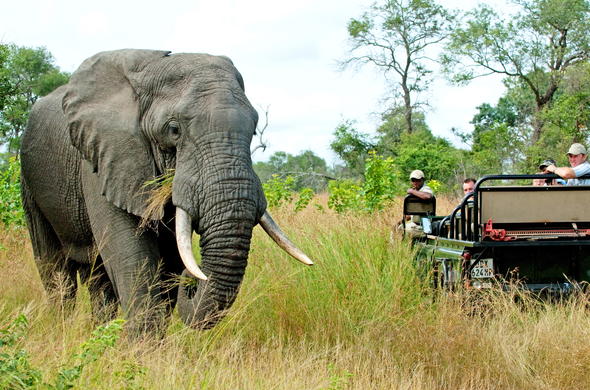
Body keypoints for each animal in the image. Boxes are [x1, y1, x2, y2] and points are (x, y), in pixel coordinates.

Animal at [19, 48, 314, 334]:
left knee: (97, 277)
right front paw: (143, 350)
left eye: (254, 130)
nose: (194, 280)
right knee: (54, 270)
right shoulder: (103, 161)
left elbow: (170, 261)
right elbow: (131, 258)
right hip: (29, 180)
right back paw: (63, 331)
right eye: (174, 130)